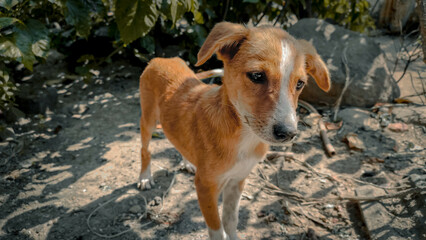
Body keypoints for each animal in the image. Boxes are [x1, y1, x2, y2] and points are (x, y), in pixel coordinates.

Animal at [138, 21, 332, 239]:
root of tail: (162, 58)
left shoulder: (238, 180)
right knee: (145, 150)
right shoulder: (205, 187)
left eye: (300, 84)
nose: (288, 133)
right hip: (148, 119)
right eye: (257, 76)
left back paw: (187, 162)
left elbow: (231, 221)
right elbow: (217, 230)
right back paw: (145, 177)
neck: (244, 137)